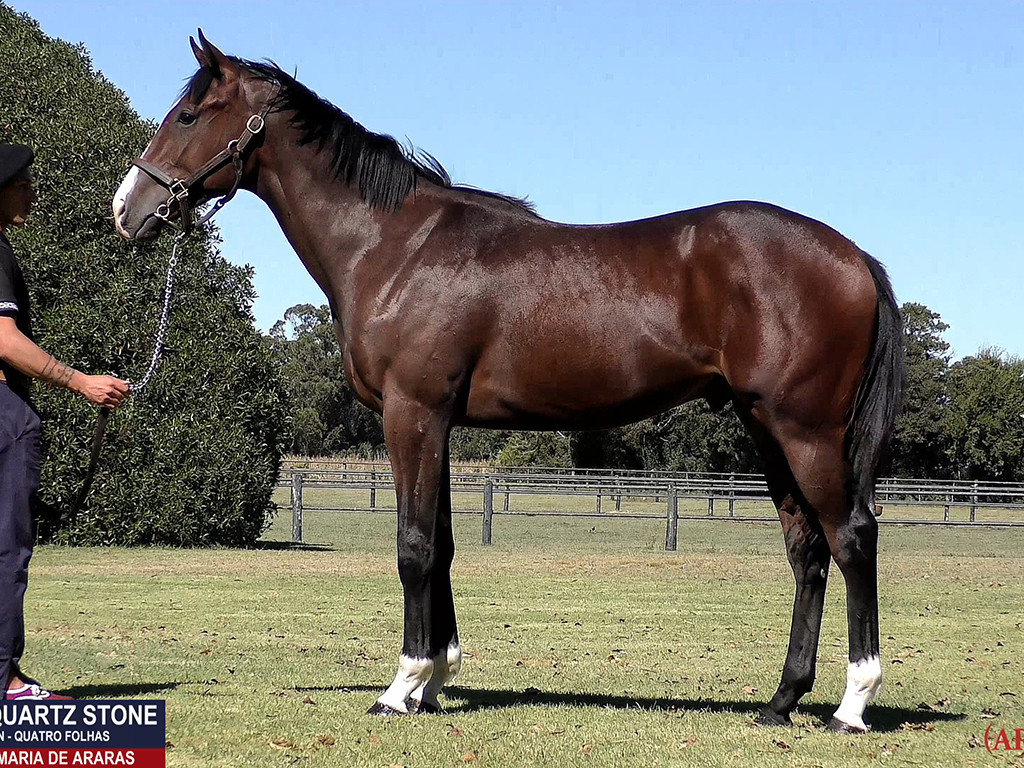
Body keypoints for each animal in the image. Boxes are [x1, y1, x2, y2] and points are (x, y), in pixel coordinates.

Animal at [113, 32, 903, 732]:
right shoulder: (440, 423)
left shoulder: (411, 414)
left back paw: (852, 705)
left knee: (851, 537)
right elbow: (442, 545)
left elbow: (413, 546)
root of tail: (855, 256)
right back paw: (781, 701)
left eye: (188, 116)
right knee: (807, 551)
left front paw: (400, 688)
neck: (394, 245)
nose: (127, 210)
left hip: (804, 431)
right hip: (764, 427)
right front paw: (435, 680)